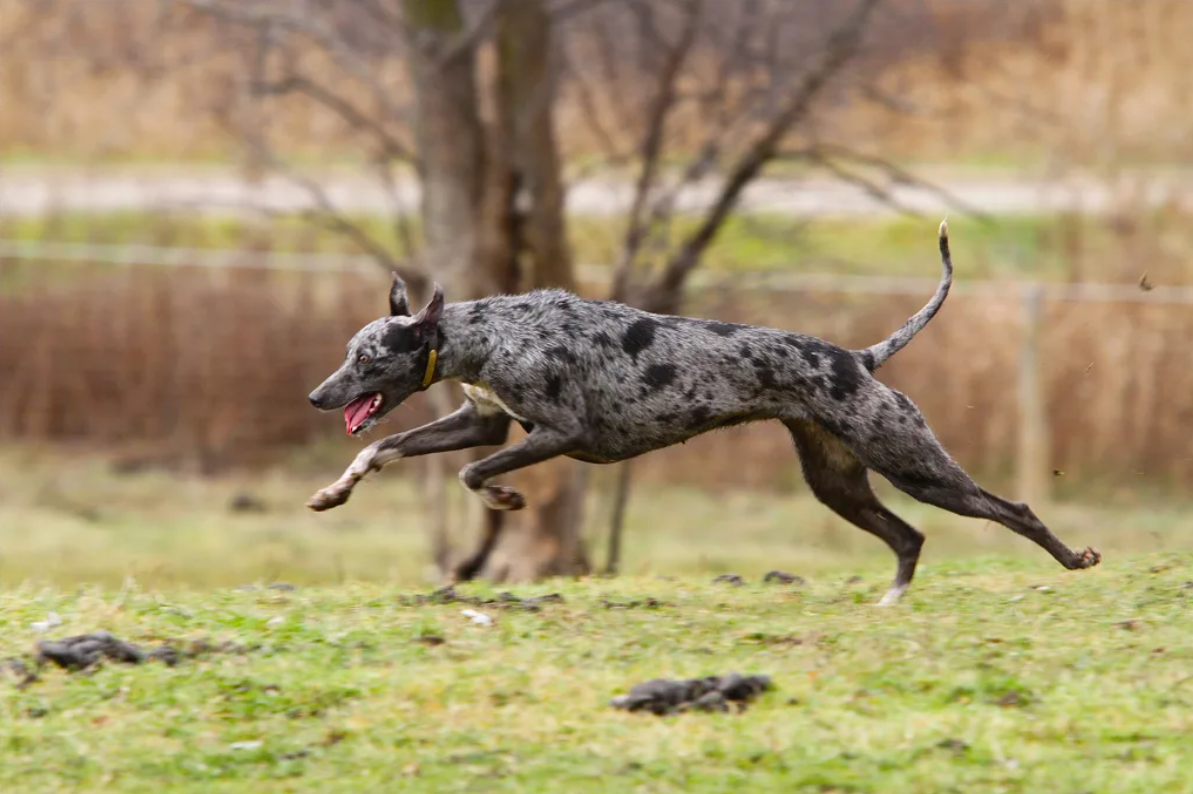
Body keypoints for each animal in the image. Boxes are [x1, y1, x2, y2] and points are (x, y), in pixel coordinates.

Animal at [307, 219, 1097, 603]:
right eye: (349, 352)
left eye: (367, 360)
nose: (317, 396)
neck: (488, 335)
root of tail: (860, 358)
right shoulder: (483, 422)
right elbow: (380, 449)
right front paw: (332, 492)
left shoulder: (557, 432)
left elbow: (473, 475)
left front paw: (505, 497)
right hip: (838, 484)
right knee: (908, 538)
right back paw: (893, 600)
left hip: (916, 467)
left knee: (1012, 510)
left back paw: (1072, 559)